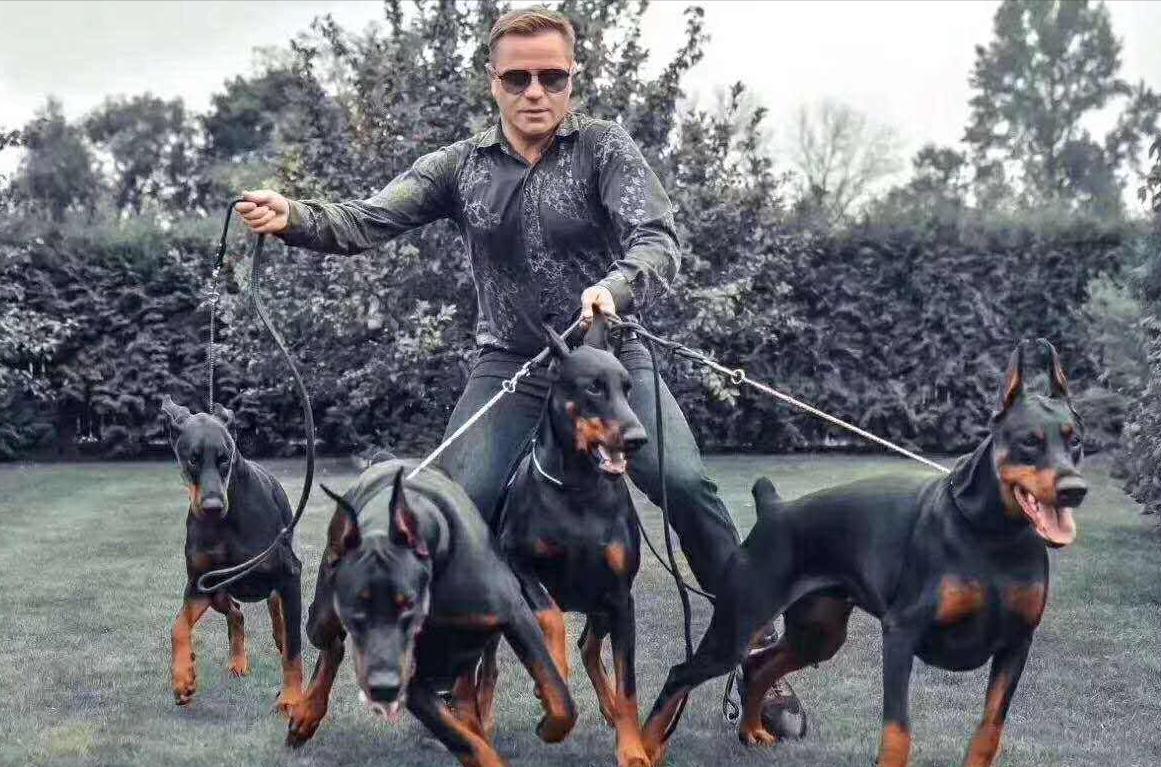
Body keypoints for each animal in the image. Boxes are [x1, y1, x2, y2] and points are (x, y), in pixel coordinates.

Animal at [161, 396, 304, 712]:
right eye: (193, 458)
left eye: (225, 457)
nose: (213, 507)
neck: (225, 524)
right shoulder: (199, 583)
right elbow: (178, 626)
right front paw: (182, 679)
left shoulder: (289, 574)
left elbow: (293, 647)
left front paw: (291, 697)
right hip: (217, 590)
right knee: (236, 613)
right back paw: (237, 661)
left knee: (277, 615)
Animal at [285, 459, 577, 766]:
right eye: (355, 613)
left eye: (408, 605)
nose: (383, 687)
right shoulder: (411, 678)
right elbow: (463, 741)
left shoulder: (515, 615)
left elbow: (560, 698)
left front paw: (549, 726)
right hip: (322, 616)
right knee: (331, 643)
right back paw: (306, 714)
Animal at [478, 313, 650, 767]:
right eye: (593, 386)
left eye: (628, 387)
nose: (637, 439)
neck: (578, 488)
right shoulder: (517, 561)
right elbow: (550, 616)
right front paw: (553, 675)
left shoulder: (620, 595)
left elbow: (628, 683)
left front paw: (633, 749)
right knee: (486, 669)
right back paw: (481, 719)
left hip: (603, 601)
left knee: (590, 644)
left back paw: (608, 706)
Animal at [641, 338, 1087, 767]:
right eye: (1029, 441)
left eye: (1076, 441)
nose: (1075, 490)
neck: (992, 537)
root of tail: (774, 509)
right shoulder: (901, 633)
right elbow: (897, 730)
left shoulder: (1017, 643)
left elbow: (990, 729)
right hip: (739, 623)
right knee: (682, 674)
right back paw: (643, 748)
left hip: (819, 632)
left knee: (758, 665)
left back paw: (751, 730)